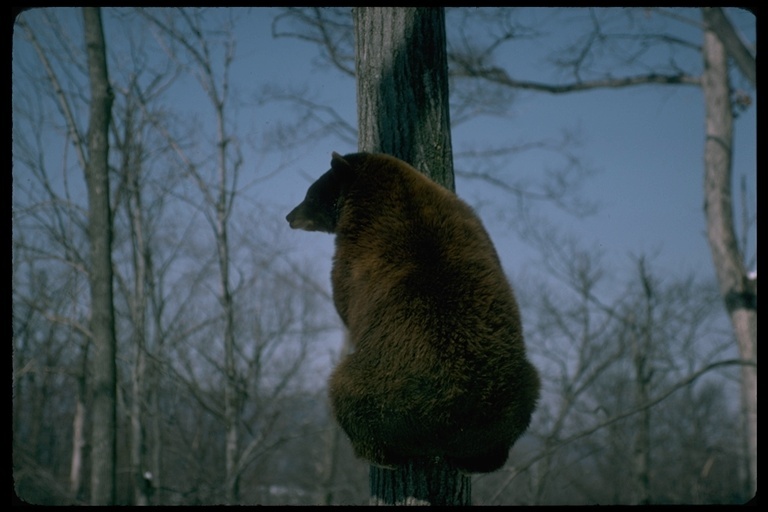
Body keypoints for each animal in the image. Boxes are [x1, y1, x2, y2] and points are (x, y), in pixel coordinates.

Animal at [284, 152, 536, 472]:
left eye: (311, 193)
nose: (289, 217)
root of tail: (448, 420)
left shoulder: (353, 259)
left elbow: (342, 298)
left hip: (375, 390)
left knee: (345, 393)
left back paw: (375, 455)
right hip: (519, 392)